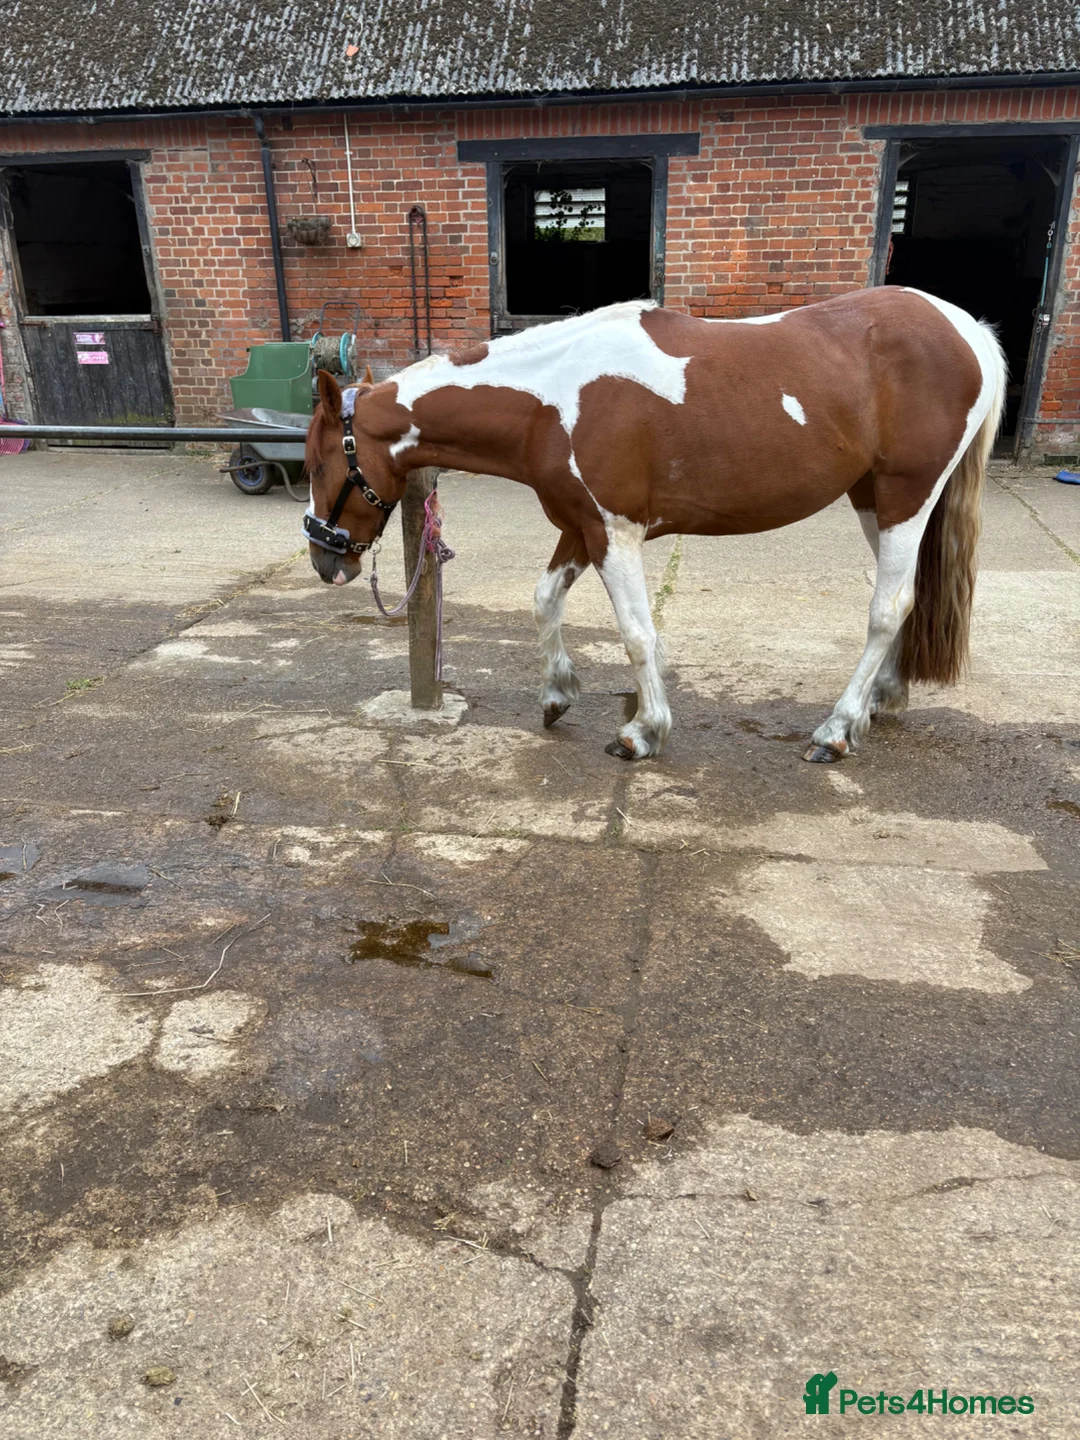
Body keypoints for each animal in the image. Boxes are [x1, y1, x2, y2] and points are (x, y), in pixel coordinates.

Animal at [303, 287, 1006, 762]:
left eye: (317, 462)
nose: (324, 559)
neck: (549, 401)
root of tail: (968, 329)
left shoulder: (615, 533)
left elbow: (638, 634)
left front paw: (643, 731)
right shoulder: (581, 525)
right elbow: (544, 600)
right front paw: (557, 694)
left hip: (906, 494)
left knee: (888, 606)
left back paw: (835, 730)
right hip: (873, 499)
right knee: (905, 596)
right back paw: (879, 702)